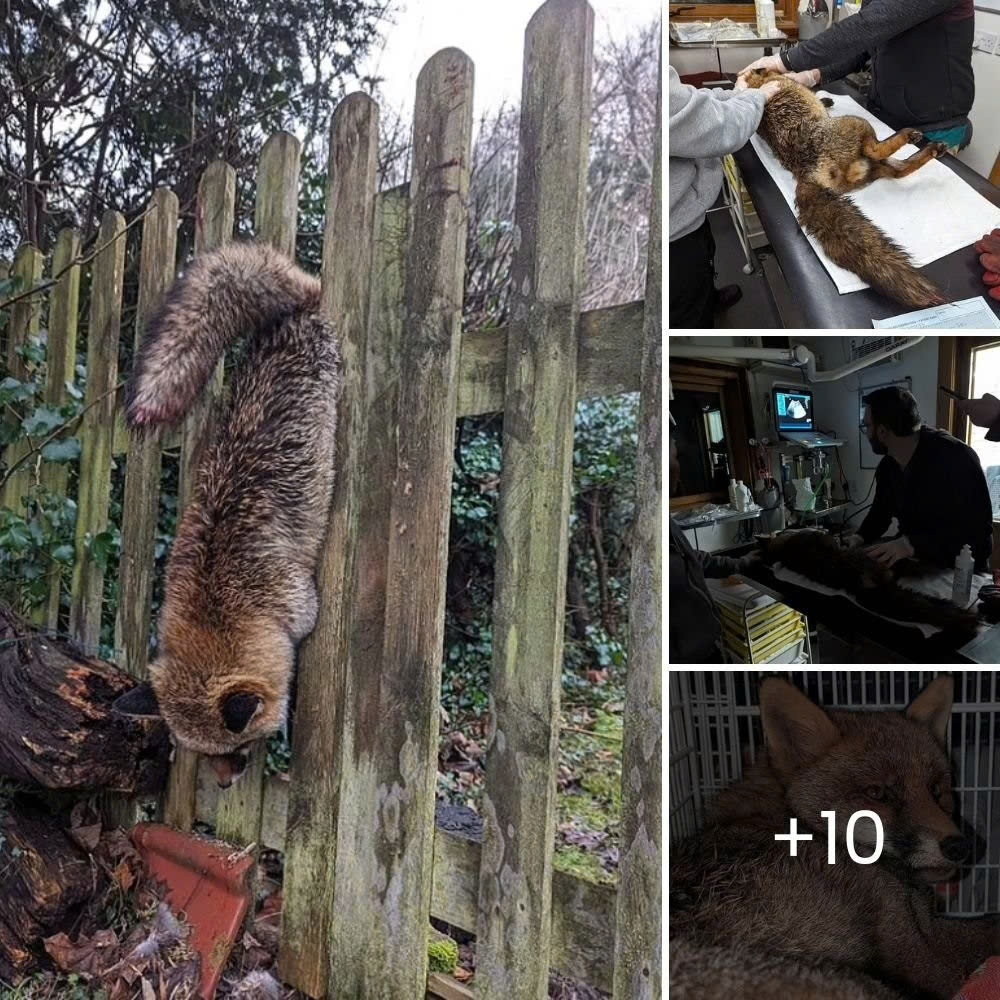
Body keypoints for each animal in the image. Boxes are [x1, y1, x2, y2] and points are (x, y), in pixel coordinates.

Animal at [668, 676, 996, 996]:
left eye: (936, 790)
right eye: (877, 793)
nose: (959, 846)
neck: (799, 823)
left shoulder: (926, 927)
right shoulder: (923, 959)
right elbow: (987, 930)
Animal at [744, 70, 944, 308]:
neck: (760, 83)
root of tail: (805, 173)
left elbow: (820, 98)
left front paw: (826, 100)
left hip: (879, 166)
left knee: (903, 169)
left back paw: (933, 149)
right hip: (860, 126)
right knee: (877, 149)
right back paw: (908, 135)